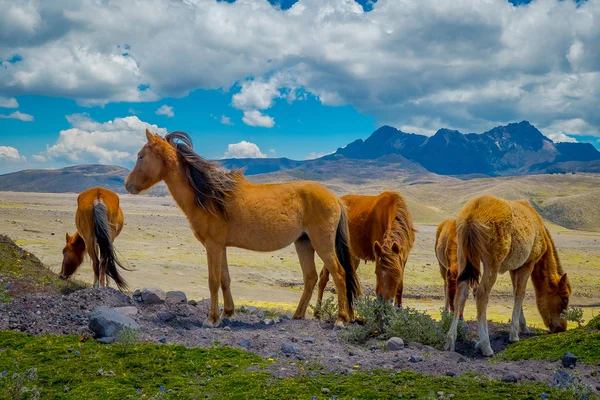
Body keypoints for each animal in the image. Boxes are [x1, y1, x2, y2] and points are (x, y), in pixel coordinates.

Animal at [123, 130, 358, 326]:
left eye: (141, 156)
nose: (127, 185)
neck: (209, 196)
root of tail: (335, 198)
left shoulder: (213, 245)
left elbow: (213, 280)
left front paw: (212, 319)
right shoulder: (221, 246)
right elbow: (224, 279)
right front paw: (227, 312)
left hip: (322, 244)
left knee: (339, 274)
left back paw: (341, 319)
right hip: (303, 243)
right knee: (310, 277)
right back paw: (298, 316)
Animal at [446, 194, 572, 356]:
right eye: (564, 298)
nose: (562, 327)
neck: (540, 229)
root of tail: (471, 216)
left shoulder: (514, 268)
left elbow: (515, 292)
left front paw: (523, 326)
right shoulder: (528, 263)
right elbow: (520, 293)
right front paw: (514, 334)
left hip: (463, 257)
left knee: (461, 293)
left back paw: (450, 341)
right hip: (492, 263)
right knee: (481, 294)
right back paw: (486, 346)